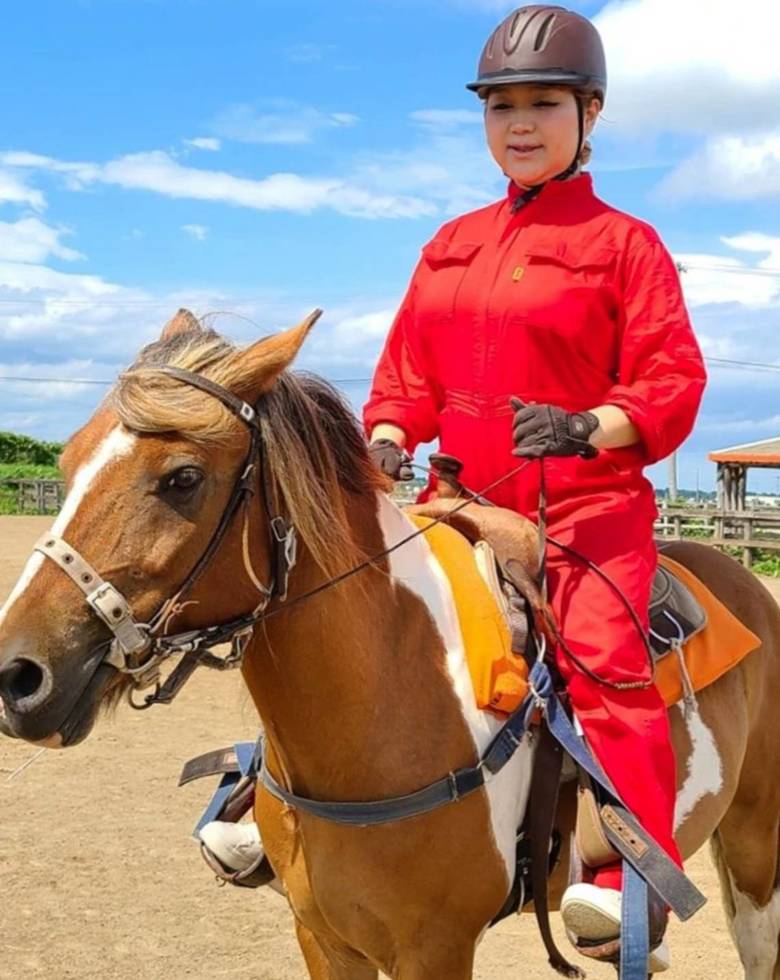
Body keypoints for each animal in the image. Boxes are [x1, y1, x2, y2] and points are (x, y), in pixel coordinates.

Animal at [1, 309, 780, 980]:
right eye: (68, 465)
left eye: (183, 478)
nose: (17, 676)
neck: (384, 708)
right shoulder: (322, 938)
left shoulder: (435, 949)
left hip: (754, 846)